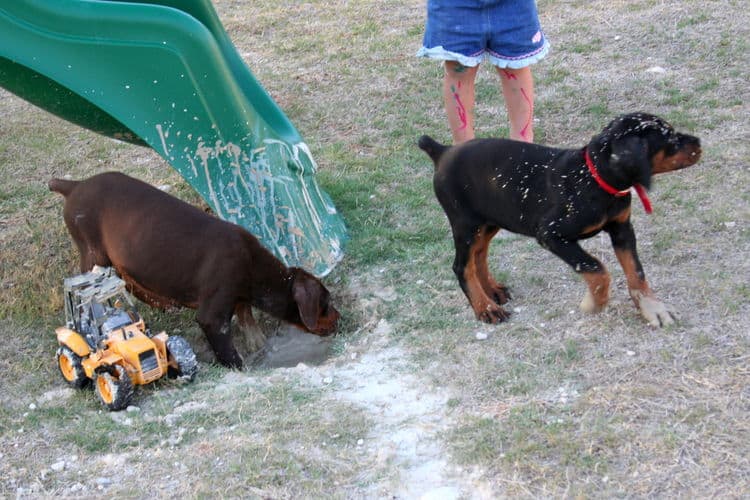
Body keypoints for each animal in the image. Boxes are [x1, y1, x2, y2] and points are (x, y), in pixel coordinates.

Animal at [49, 171, 338, 368]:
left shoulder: (239, 297)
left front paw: (260, 346)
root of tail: (75, 186)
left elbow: (249, 322)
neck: (253, 266)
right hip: (93, 254)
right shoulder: (213, 314)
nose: (339, 318)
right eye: (324, 304)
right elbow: (228, 350)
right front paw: (241, 367)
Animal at [420, 111, 704, 326]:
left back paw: (492, 291)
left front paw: (651, 306)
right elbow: (596, 268)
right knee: (461, 266)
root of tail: (443, 151)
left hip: (490, 219)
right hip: (466, 224)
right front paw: (595, 303)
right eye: (671, 140)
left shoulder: (622, 228)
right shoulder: (551, 234)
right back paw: (485, 308)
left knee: (479, 254)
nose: (699, 142)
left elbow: (636, 271)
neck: (593, 178)